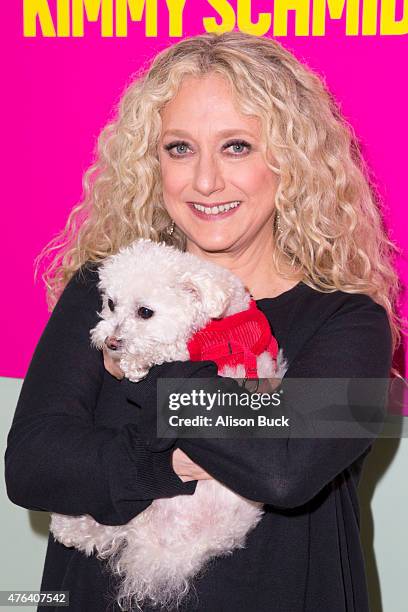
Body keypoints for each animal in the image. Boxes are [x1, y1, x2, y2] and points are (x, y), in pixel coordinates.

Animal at [50, 239, 286, 612]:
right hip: (137, 510)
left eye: (145, 312)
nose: (111, 343)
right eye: (111, 303)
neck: (215, 320)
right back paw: (71, 526)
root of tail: (172, 548)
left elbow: (169, 351)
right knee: (110, 528)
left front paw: (137, 361)